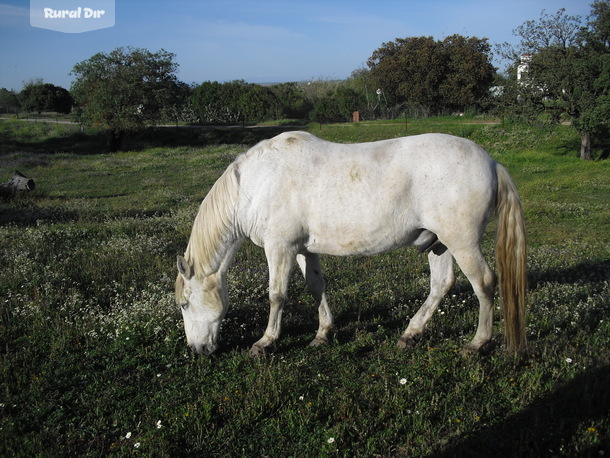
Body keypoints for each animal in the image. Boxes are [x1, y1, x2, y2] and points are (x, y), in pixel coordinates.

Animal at [177, 131, 528, 356]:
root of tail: (493, 163)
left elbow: (276, 295)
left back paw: (477, 343)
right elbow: (316, 287)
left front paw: (265, 342)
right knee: (441, 284)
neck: (256, 184)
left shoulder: (280, 248)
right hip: (439, 242)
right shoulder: (302, 249)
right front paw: (322, 333)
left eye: (184, 304)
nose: (197, 349)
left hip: (461, 242)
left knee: (484, 283)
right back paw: (410, 334)